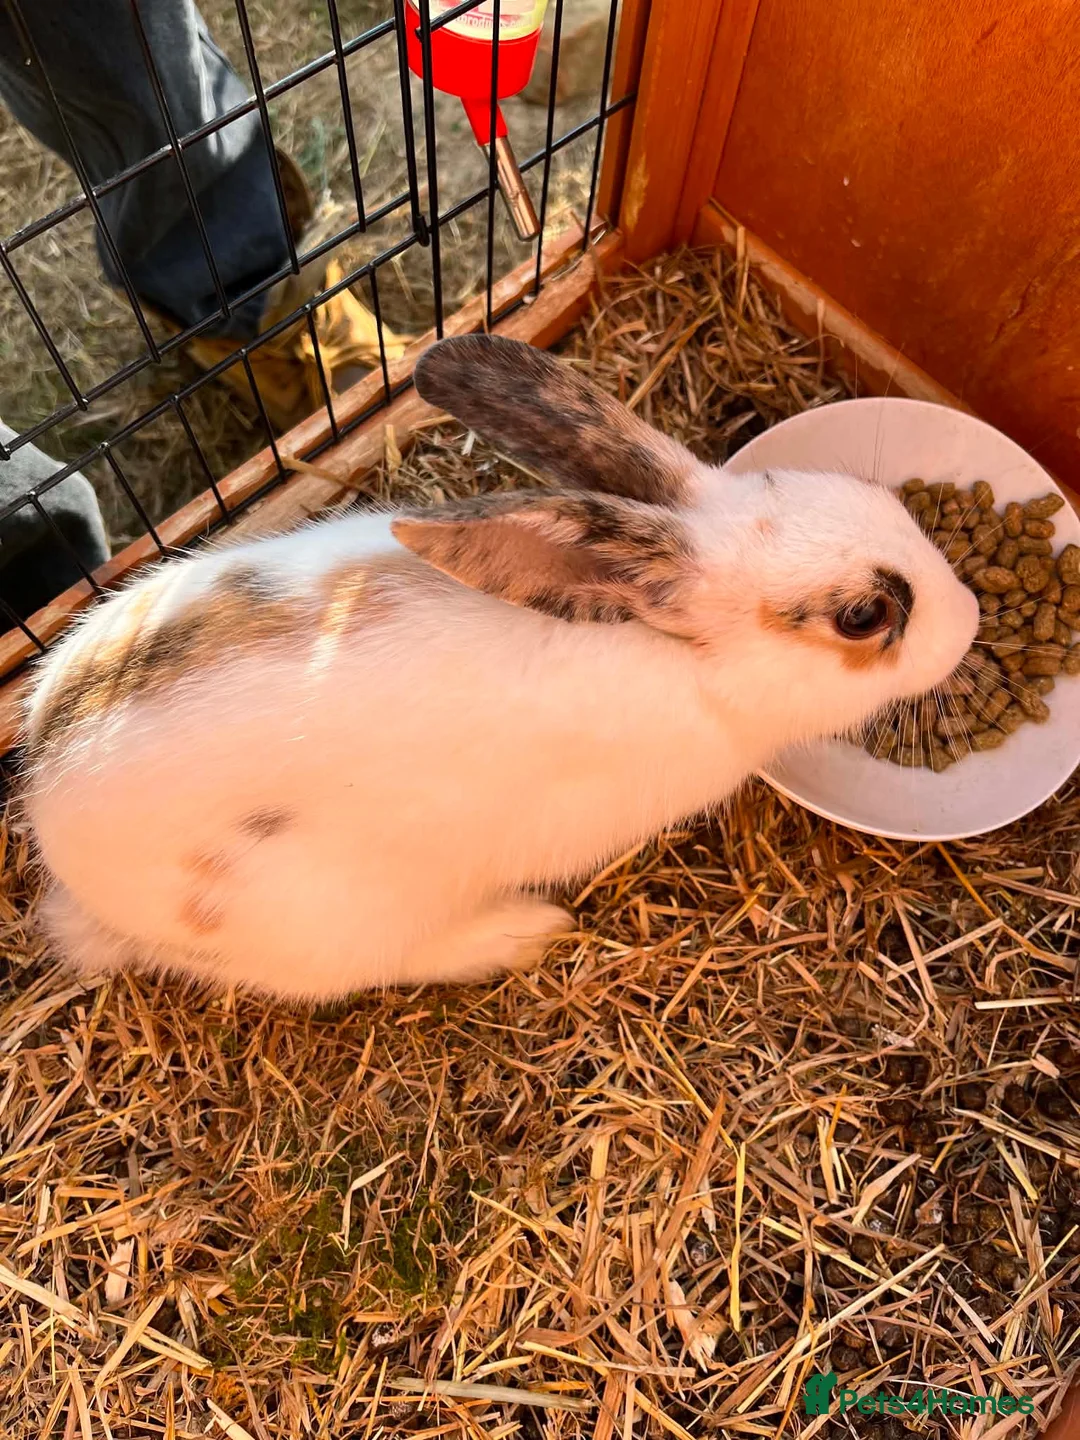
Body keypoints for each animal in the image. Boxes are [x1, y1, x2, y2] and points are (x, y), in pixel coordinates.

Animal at [20, 335, 979, 1002]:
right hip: (341, 920)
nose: (970, 618)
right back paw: (522, 933)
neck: (682, 658)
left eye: (881, 498)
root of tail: (61, 852)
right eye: (864, 617)